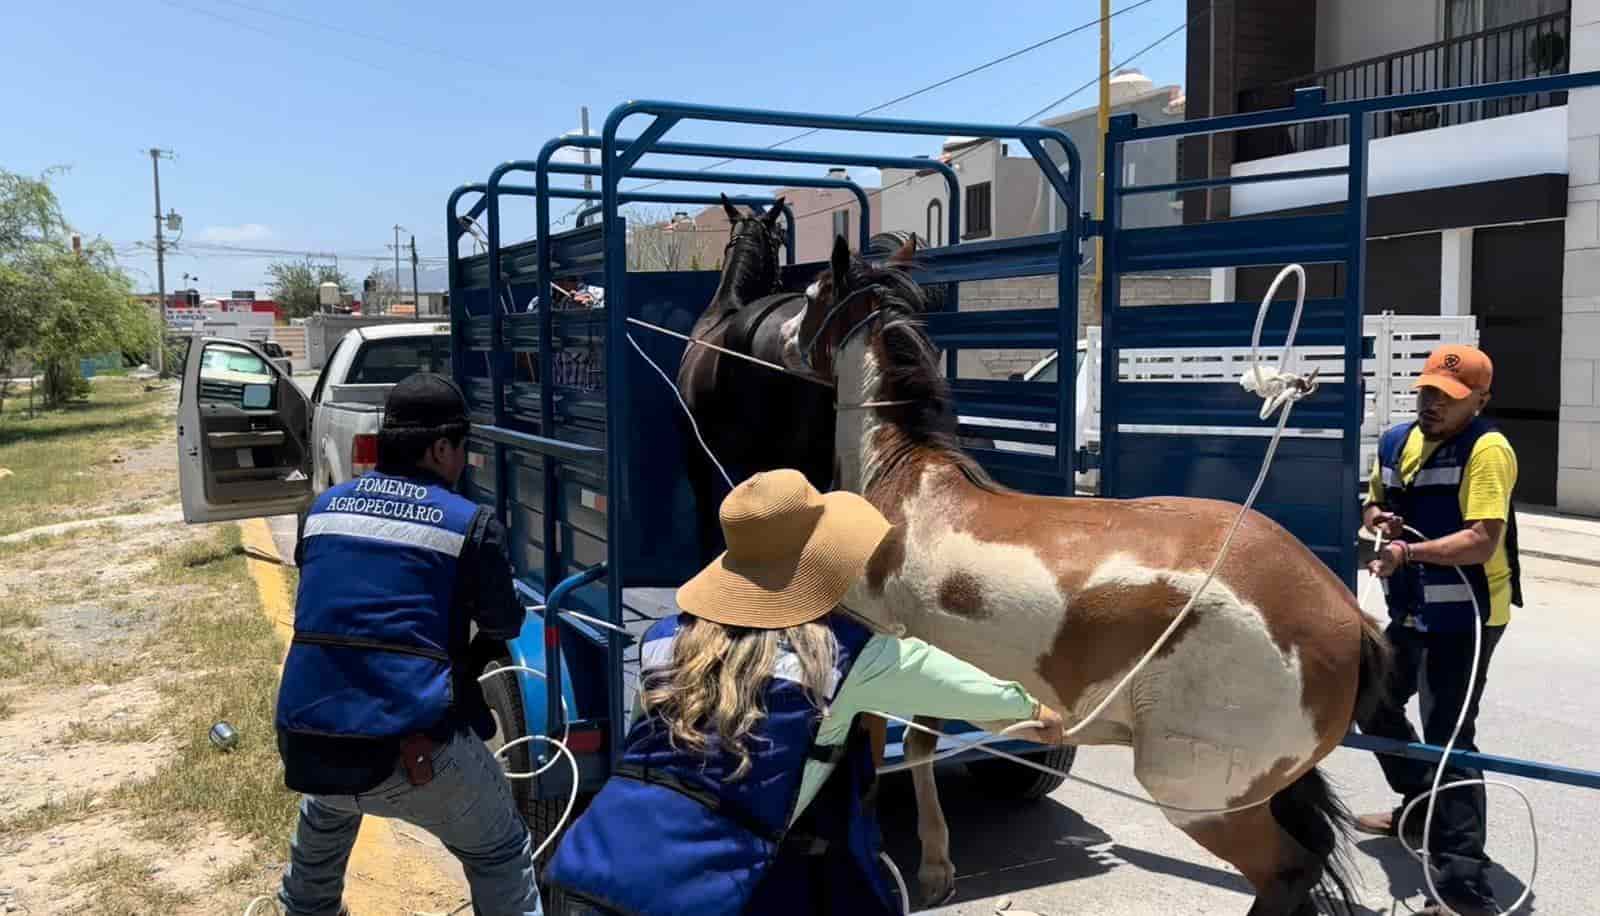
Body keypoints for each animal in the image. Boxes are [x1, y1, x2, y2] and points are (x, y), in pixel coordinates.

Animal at [774, 238, 1388, 916]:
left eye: (812, 296)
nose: (783, 337)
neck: (906, 484)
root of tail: (1346, 615)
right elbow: (919, 749)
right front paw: (936, 865)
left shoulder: (883, 647)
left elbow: (886, 745)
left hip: (1200, 793)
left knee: (1287, 871)